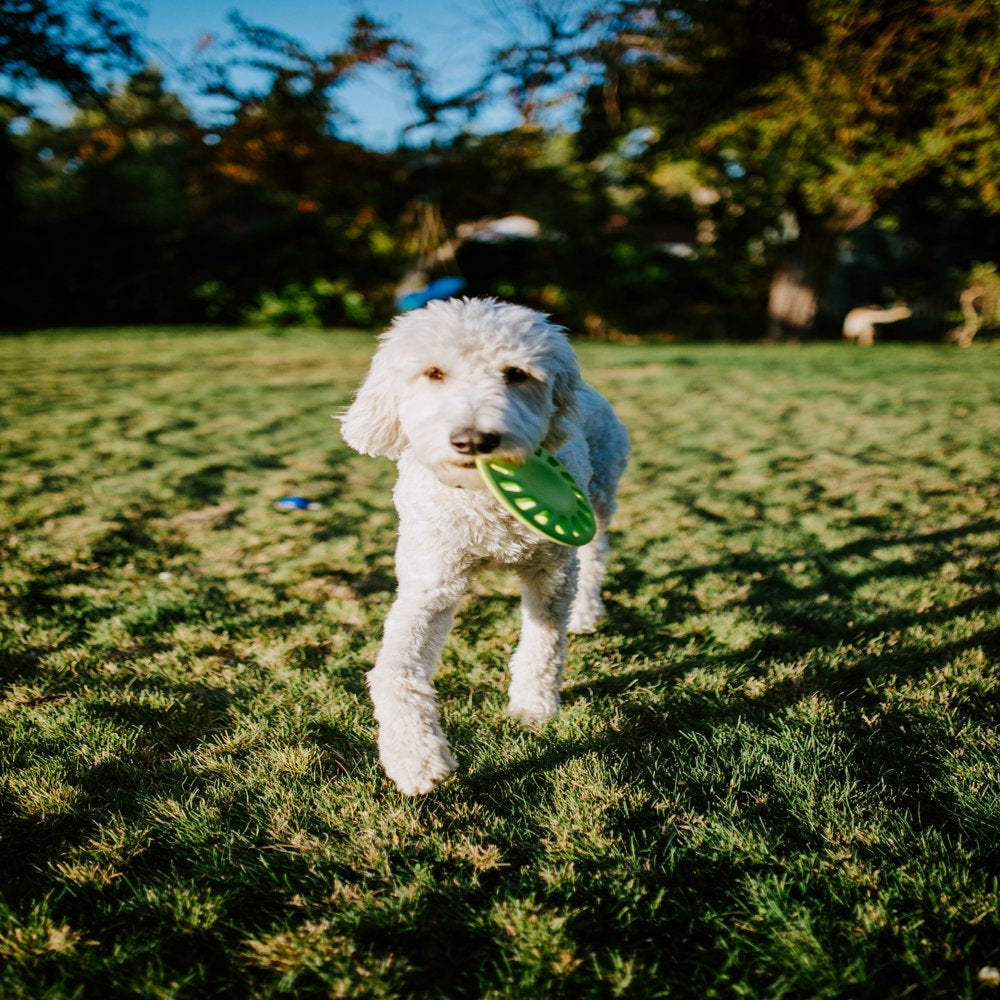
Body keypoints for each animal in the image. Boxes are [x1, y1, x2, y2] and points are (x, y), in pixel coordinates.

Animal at [340, 292, 628, 792]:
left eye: (516, 374)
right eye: (434, 373)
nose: (473, 439)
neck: (483, 499)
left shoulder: (551, 572)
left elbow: (544, 643)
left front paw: (534, 707)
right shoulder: (430, 583)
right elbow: (395, 670)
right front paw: (416, 760)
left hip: (599, 496)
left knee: (595, 555)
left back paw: (587, 611)